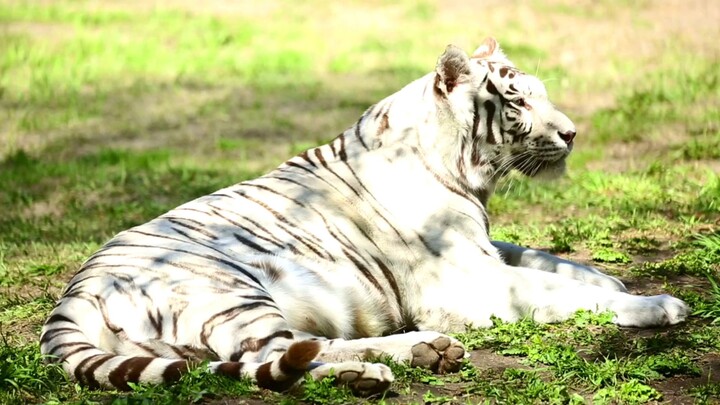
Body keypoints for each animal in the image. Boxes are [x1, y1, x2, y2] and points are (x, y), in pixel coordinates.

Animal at [40, 38, 689, 396]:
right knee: (278, 356)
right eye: (518, 101)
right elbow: (557, 287)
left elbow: (555, 261)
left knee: (274, 356)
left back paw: (418, 355)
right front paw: (657, 305)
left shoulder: (483, 247)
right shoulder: (469, 283)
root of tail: (72, 296)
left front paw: (615, 280)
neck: (461, 172)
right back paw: (390, 365)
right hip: (232, 293)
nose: (573, 134)